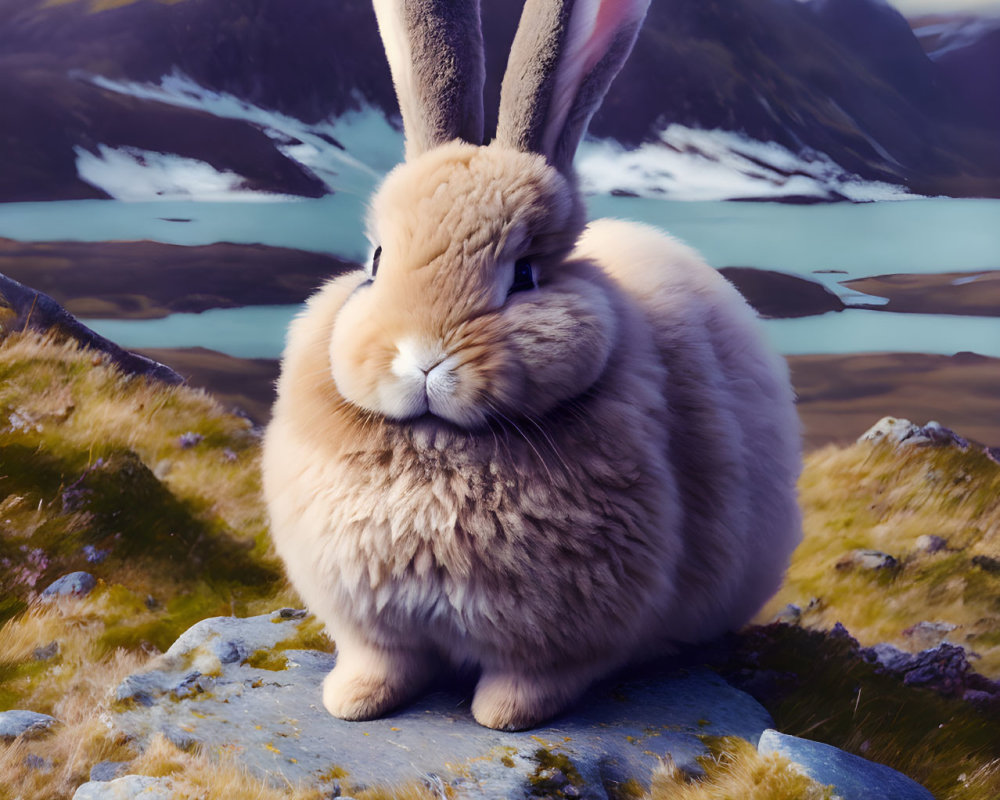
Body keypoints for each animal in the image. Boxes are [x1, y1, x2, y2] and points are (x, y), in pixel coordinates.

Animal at [262, 0, 800, 732]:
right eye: (374, 262)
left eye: (524, 275)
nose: (422, 358)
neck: (439, 445)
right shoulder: (374, 623)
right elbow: (383, 662)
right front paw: (353, 703)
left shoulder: (565, 639)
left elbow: (533, 680)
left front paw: (504, 716)